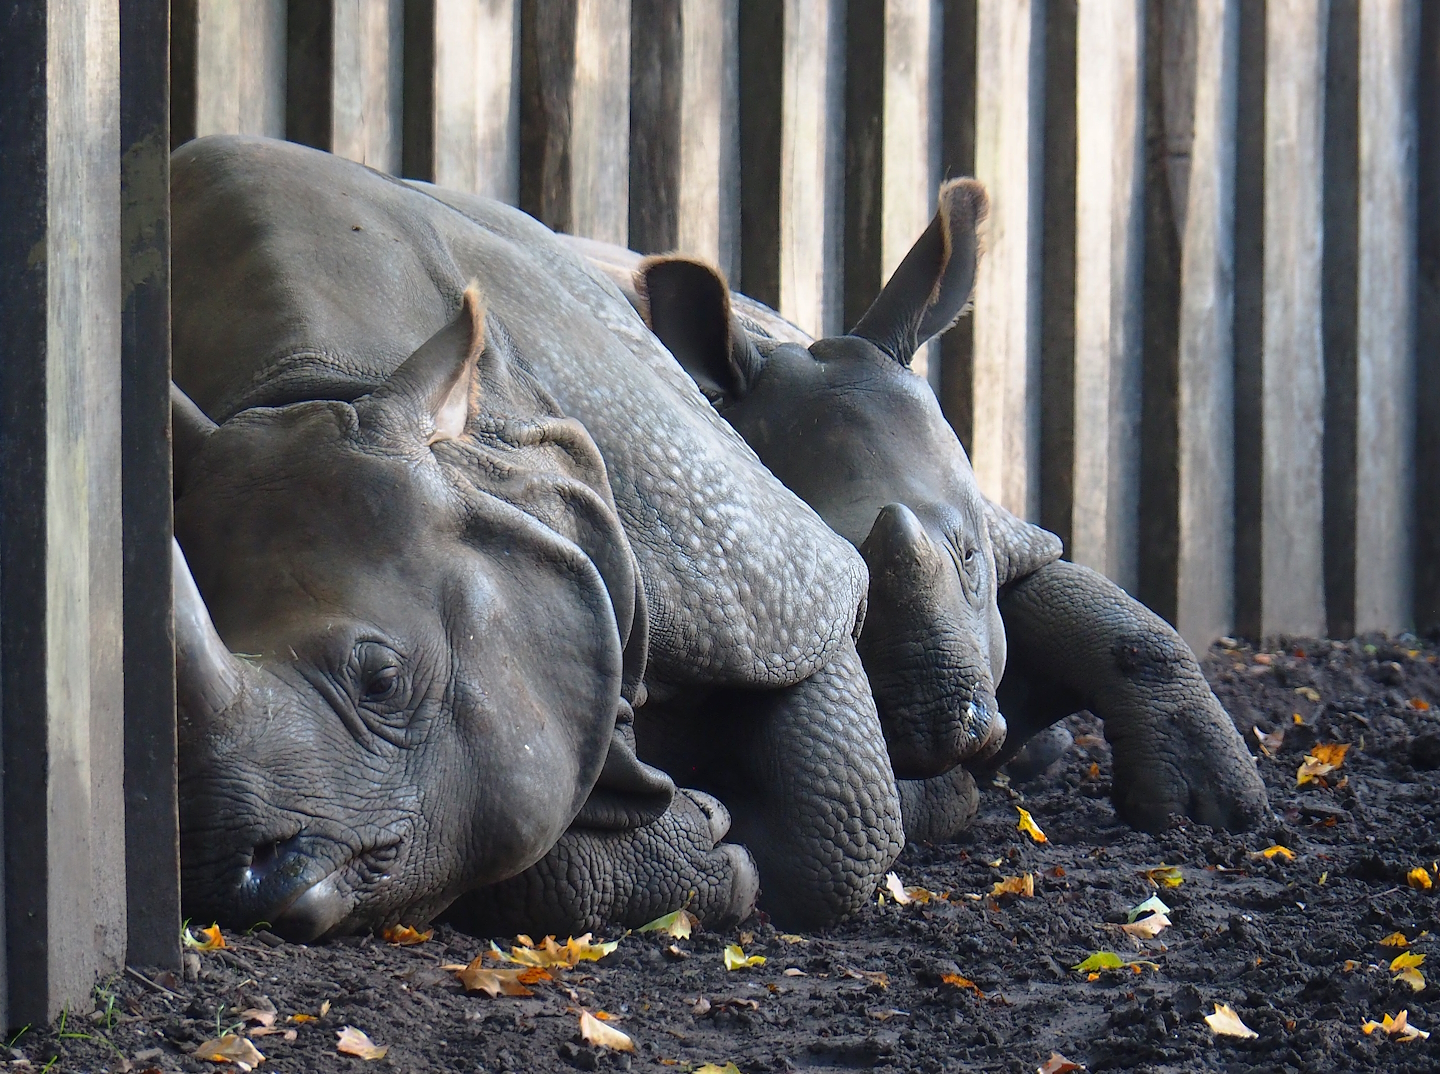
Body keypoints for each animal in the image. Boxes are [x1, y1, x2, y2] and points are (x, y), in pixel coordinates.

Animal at [169, 134, 904, 940]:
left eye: (382, 682)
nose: (228, 876)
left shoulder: (760, 574)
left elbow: (838, 825)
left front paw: (733, 839)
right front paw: (704, 841)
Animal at [563, 179, 1269, 842]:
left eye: (970, 556)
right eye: (850, 605)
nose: (951, 732)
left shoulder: (1006, 536)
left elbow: (1101, 613)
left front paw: (1206, 812)